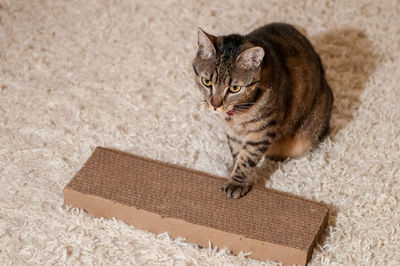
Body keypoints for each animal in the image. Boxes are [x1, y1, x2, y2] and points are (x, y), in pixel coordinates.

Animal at [192, 23, 332, 197]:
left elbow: (247, 158)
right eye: (206, 81)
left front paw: (237, 182)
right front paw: (233, 170)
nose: (215, 105)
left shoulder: (262, 130)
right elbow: (237, 153)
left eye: (234, 88)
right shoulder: (233, 134)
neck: (236, 116)